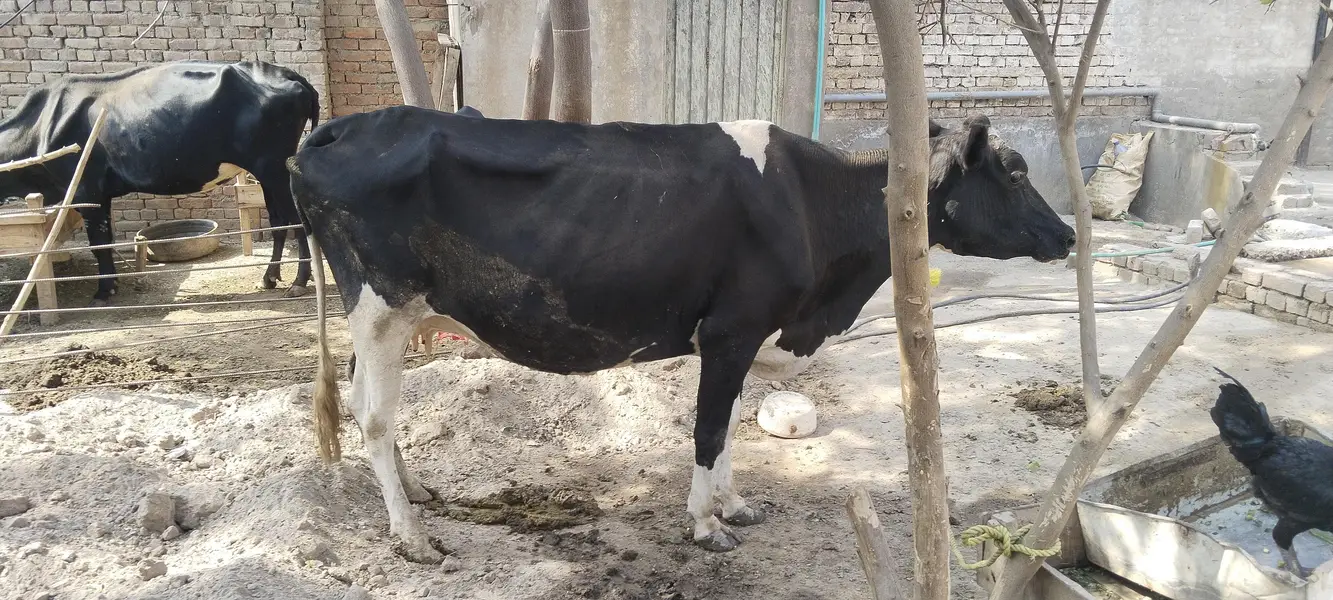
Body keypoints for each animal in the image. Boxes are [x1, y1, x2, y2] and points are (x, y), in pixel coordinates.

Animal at [0, 60, 320, 304]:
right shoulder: (100, 196)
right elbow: (106, 240)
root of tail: (289, 74)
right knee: (278, 221)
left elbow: (99, 243)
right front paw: (112, 284)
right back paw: (269, 277)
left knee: (297, 222)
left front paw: (104, 291)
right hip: (266, 173)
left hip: (274, 168)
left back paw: (299, 282)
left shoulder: (85, 190)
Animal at [288, 106, 1075, 564]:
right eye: (1013, 172)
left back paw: (416, 493)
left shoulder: (746, 336)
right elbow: (708, 428)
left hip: (382, 316)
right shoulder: (731, 330)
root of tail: (339, 126)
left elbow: (727, 426)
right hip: (381, 303)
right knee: (374, 416)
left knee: (363, 405)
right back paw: (411, 537)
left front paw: (734, 506)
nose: (1067, 235)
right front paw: (705, 524)